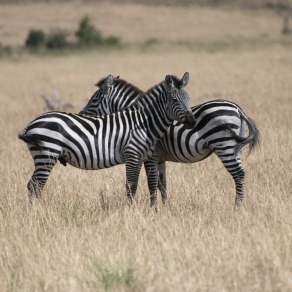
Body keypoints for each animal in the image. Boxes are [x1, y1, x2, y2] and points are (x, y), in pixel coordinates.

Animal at [18, 72, 196, 203]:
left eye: (189, 99)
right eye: (174, 100)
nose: (192, 122)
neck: (143, 122)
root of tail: (32, 123)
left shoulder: (141, 157)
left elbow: (145, 185)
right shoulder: (133, 155)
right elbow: (132, 186)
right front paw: (131, 212)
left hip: (43, 157)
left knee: (32, 185)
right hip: (47, 155)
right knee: (35, 186)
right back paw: (38, 212)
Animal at [79, 76, 260, 206]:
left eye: (94, 99)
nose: (81, 115)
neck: (143, 119)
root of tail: (238, 109)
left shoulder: (150, 157)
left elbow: (152, 183)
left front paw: (154, 208)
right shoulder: (159, 159)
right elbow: (162, 184)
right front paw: (166, 208)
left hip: (224, 146)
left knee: (238, 174)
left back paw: (238, 206)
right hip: (235, 148)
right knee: (241, 173)